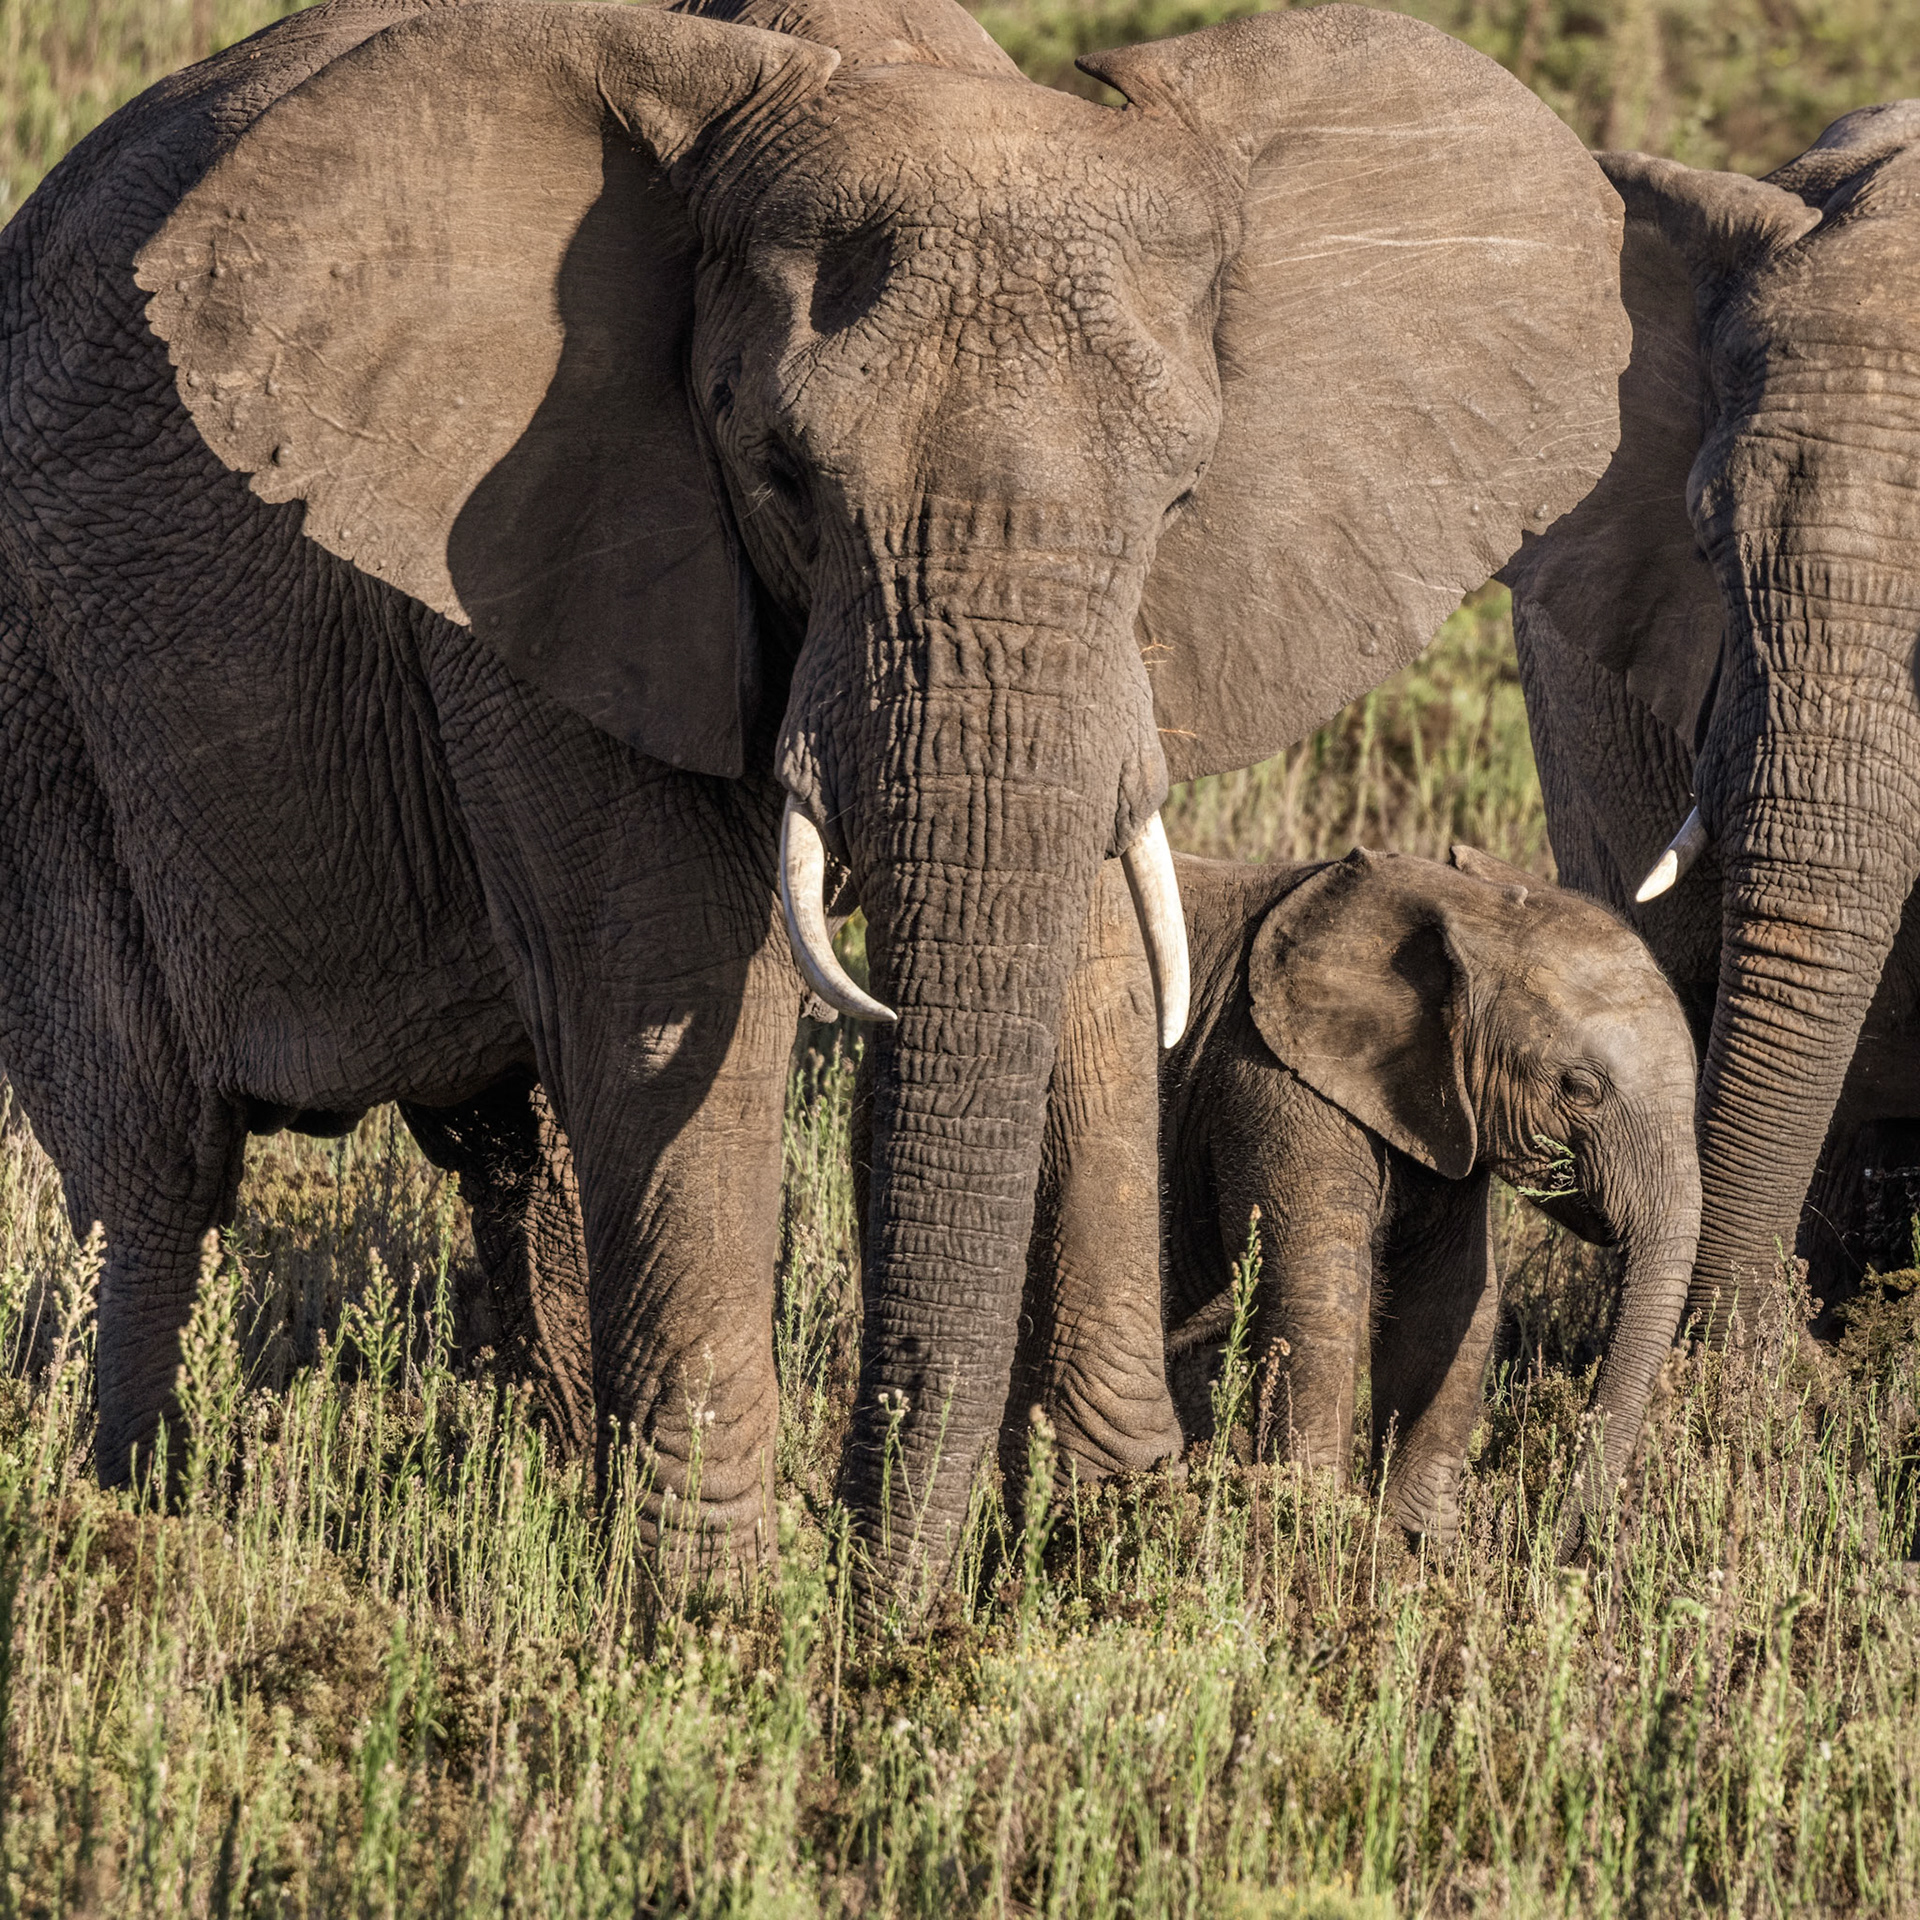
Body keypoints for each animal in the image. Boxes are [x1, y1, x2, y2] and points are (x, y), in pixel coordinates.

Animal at [0, 0, 1626, 1591]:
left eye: (1179, 501)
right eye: (781, 477)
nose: (879, 1587)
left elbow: (1096, 976)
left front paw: (1115, 1552)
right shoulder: (548, 547)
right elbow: (662, 994)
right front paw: (720, 1616)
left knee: (516, 1164)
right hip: (44, 699)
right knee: (149, 1172)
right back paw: (123, 1521)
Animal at [1024, 846, 1700, 1544]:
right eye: (1580, 1089)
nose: (1565, 1535)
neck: (1461, 904)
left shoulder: (1437, 1104)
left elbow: (1454, 1297)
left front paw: (1415, 1550)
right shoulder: (1270, 1075)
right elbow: (1321, 1290)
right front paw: (1312, 1528)